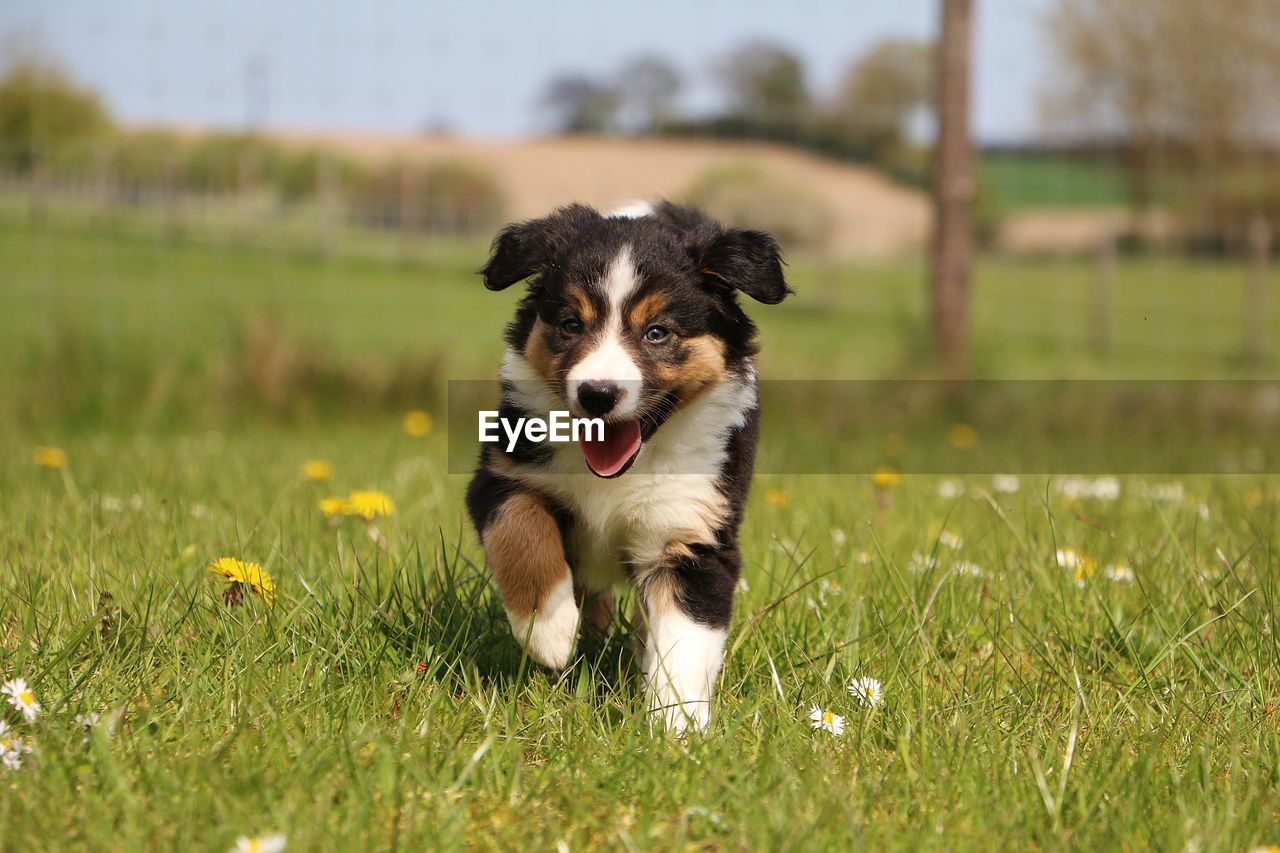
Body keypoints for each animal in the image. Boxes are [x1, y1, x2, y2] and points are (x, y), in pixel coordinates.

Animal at [471, 201, 788, 732]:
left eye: (657, 332)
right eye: (571, 325)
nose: (597, 394)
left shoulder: (694, 533)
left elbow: (684, 643)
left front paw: (678, 730)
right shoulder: (500, 475)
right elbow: (521, 531)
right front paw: (548, 632)